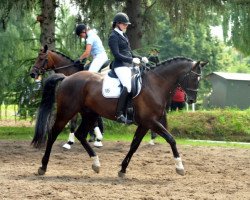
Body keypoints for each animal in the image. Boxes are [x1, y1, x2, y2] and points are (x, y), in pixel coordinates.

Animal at [31, 54, 209, 177]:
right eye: (195, 77)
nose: (192, 99)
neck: (156, 84)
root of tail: (67, 78)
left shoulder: (145, 124)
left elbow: (134, 145)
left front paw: (123, 169)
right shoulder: (151, 121)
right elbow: (171, 139)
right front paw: (180, 167)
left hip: (89, 114)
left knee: (81, 134)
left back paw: (96, 163)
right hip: (67, 111)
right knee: (53, 134)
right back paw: (43, 166)